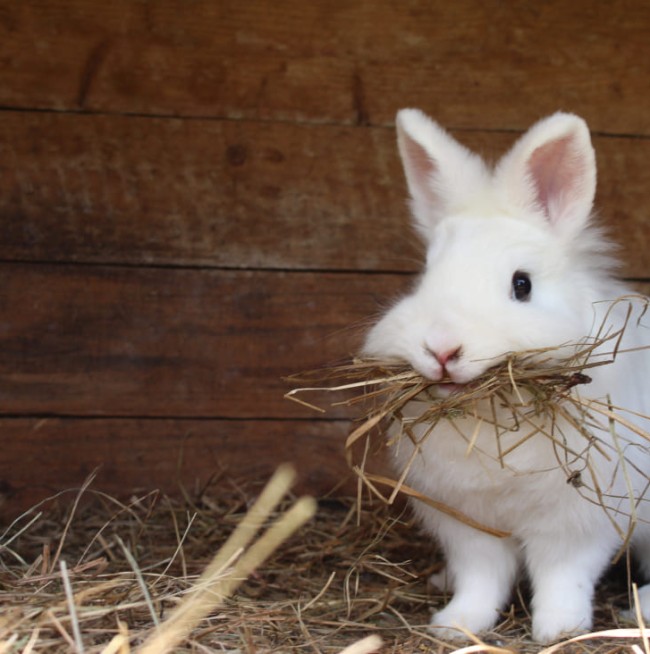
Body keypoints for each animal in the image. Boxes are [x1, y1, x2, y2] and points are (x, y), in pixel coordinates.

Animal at [362, 109, 650, 643]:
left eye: (522, 285)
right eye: (426, 278)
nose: (443, 347)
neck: (491, 419)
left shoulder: (577, 522)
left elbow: (563, 576)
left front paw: (559, 629)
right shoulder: (469, 526)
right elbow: (481, 579)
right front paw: (456, 626)